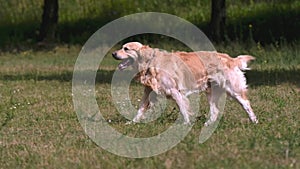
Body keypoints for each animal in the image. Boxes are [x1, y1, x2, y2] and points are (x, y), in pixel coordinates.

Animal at [112, 41, 258, 125]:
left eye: (126, 49)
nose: (113, 53)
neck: (150, 62)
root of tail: (231, 59)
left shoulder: (175, 91)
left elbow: (183, 109)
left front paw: (185, 125)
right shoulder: (148, 91)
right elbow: (140, 109)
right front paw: (132, 123)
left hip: (233, 89)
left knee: (246, 104)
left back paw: (254, 121)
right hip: (211, 92)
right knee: (215, 111)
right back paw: (208, 124)